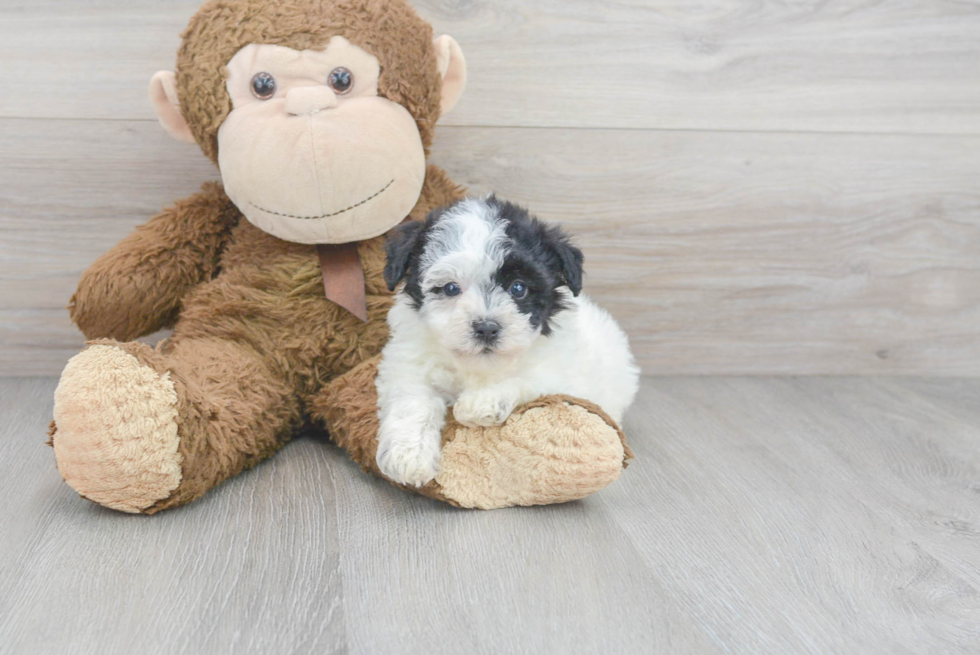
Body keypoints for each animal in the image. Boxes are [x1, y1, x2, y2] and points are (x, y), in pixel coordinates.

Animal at [374, 195, 636, 486]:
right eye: (451, 288)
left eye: (518, 288)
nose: (487, 328)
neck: (476, 366)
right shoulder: (408, 363)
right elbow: (412, 401)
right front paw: (408, 456)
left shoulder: (561, 372)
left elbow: (526, 379)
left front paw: (481, 403)